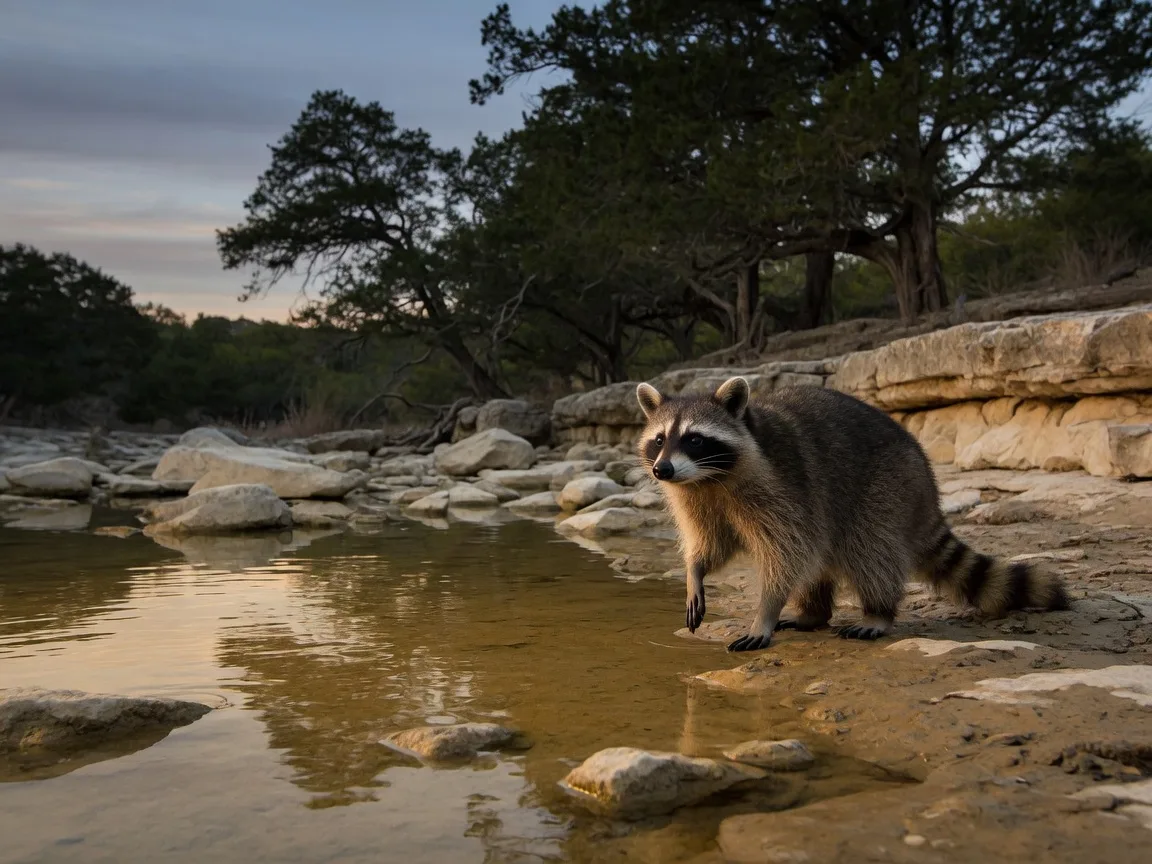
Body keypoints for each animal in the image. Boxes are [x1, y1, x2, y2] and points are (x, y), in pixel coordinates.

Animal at [635, 377, 1069, 653]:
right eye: (659, 440)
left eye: (694, 439)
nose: (662, 470)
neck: (709, 479)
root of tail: (927, 487)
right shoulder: (698, 499)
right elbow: (714, 543)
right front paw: (694, 571)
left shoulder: (784, 487)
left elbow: (788, 554)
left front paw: (765, 611)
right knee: (823, 559)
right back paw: (814, 612)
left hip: (889, 487)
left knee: (869, 549)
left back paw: (878, 611)